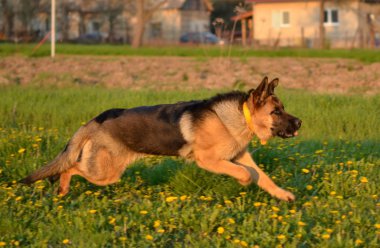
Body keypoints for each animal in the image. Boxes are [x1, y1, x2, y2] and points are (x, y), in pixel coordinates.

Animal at [20, 77, 302, 202]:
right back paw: (62, 188)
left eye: (283, 109)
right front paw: (244, 182)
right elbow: (244, 173)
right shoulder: (209, 160)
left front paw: (282, 194)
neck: (240, 116)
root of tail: (94, 121)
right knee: (70, 168)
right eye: (276, 112)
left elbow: (262, 175)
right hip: (104, 172)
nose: (299, 123)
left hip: (106, 172)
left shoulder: (240, 156)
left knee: (70, 167)